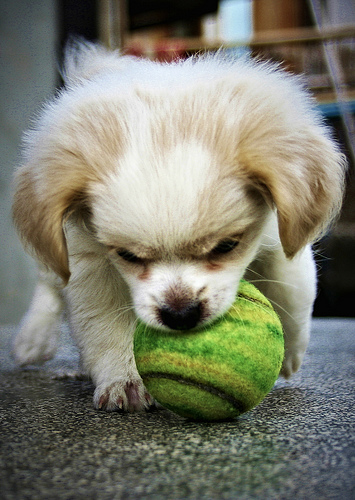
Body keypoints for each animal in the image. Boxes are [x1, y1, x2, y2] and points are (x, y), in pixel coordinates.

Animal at [12, 42, 346, 410]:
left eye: (227, 246)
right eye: (128, 256)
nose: (181, 314)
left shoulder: (278, 240)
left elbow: (291, 296)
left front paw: (288, 353)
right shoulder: (89, 261)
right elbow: (106, 325)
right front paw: (123, 380)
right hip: (56, 250)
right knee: (49, 284)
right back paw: (32, 340)